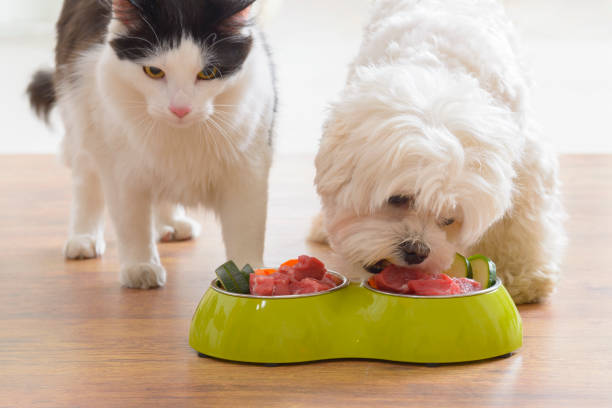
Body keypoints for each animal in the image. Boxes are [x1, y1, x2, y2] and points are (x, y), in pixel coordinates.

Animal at [27, 0, 276, 288]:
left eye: (208, 73)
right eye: (154, 71)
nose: (180, 109)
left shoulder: (249, 167)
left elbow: (247, 229)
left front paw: (254, 276)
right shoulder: (121, 167)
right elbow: (132, 223)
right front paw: (140, 267)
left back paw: (172, 223)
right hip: (82, 118)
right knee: (86, 182)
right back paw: (83, 238)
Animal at [314, 0, 568, 302]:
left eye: (449, 219)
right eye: (398, 199)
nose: (417, 251)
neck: (439, 74)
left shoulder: (527, 159)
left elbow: (521, 221)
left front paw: (525, 277)